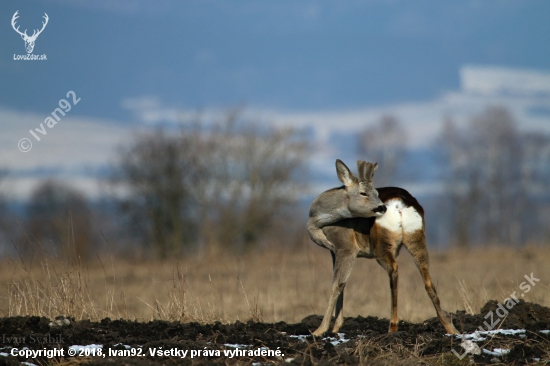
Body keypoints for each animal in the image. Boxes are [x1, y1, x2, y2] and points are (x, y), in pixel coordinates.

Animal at [310, 160, 462, 338]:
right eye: (364, 193)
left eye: (373, 192)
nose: (381, 207)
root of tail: (399, 204)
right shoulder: (334, 252)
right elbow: (343, 284)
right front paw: (335, 328)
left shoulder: (345, 247)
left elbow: (337, 284)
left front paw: (321, 329)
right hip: (417, 238)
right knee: (428, 280)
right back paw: (450, 327)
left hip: (382, 246)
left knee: (394, 270)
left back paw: (392, 327)